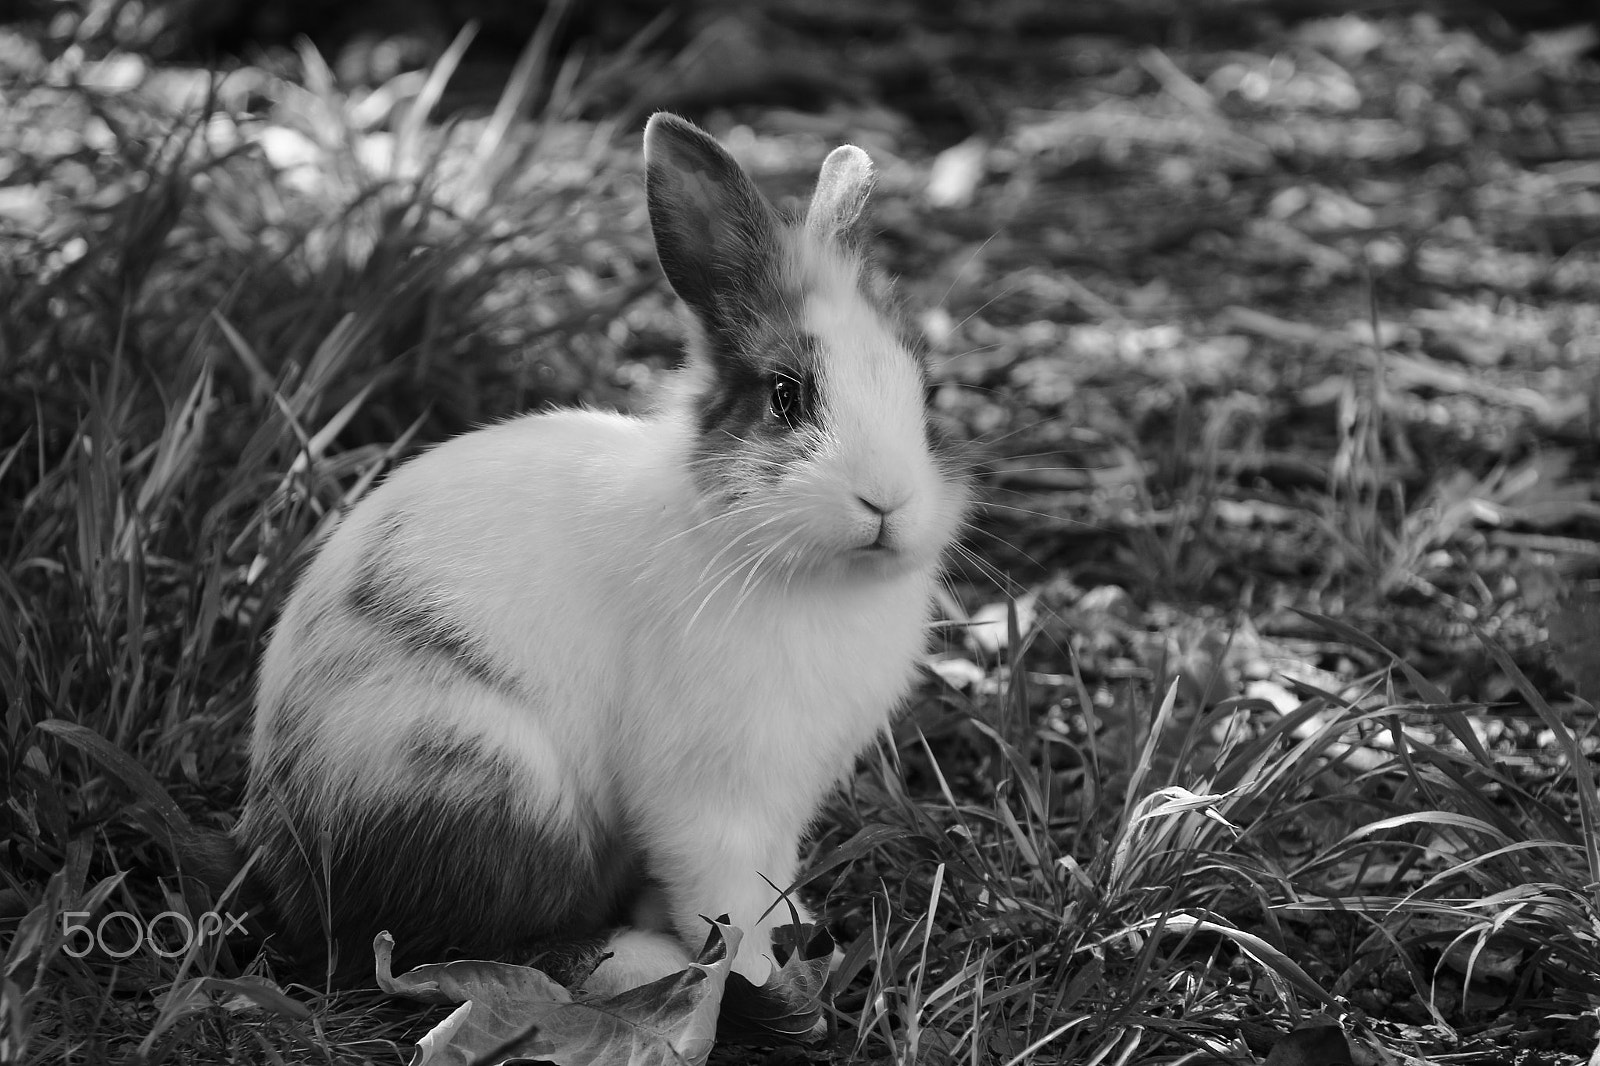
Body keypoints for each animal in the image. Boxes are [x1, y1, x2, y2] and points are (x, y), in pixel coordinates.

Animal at [236, 111, 970, 995]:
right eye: (786, 396)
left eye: (926, 394)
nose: (887, 501)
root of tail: (289, 861)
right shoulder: (707, 796)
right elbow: (722, 896)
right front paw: (759, 974)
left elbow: (768, 876)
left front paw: (791, 922)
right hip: (491, 783)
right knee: (454, 945)